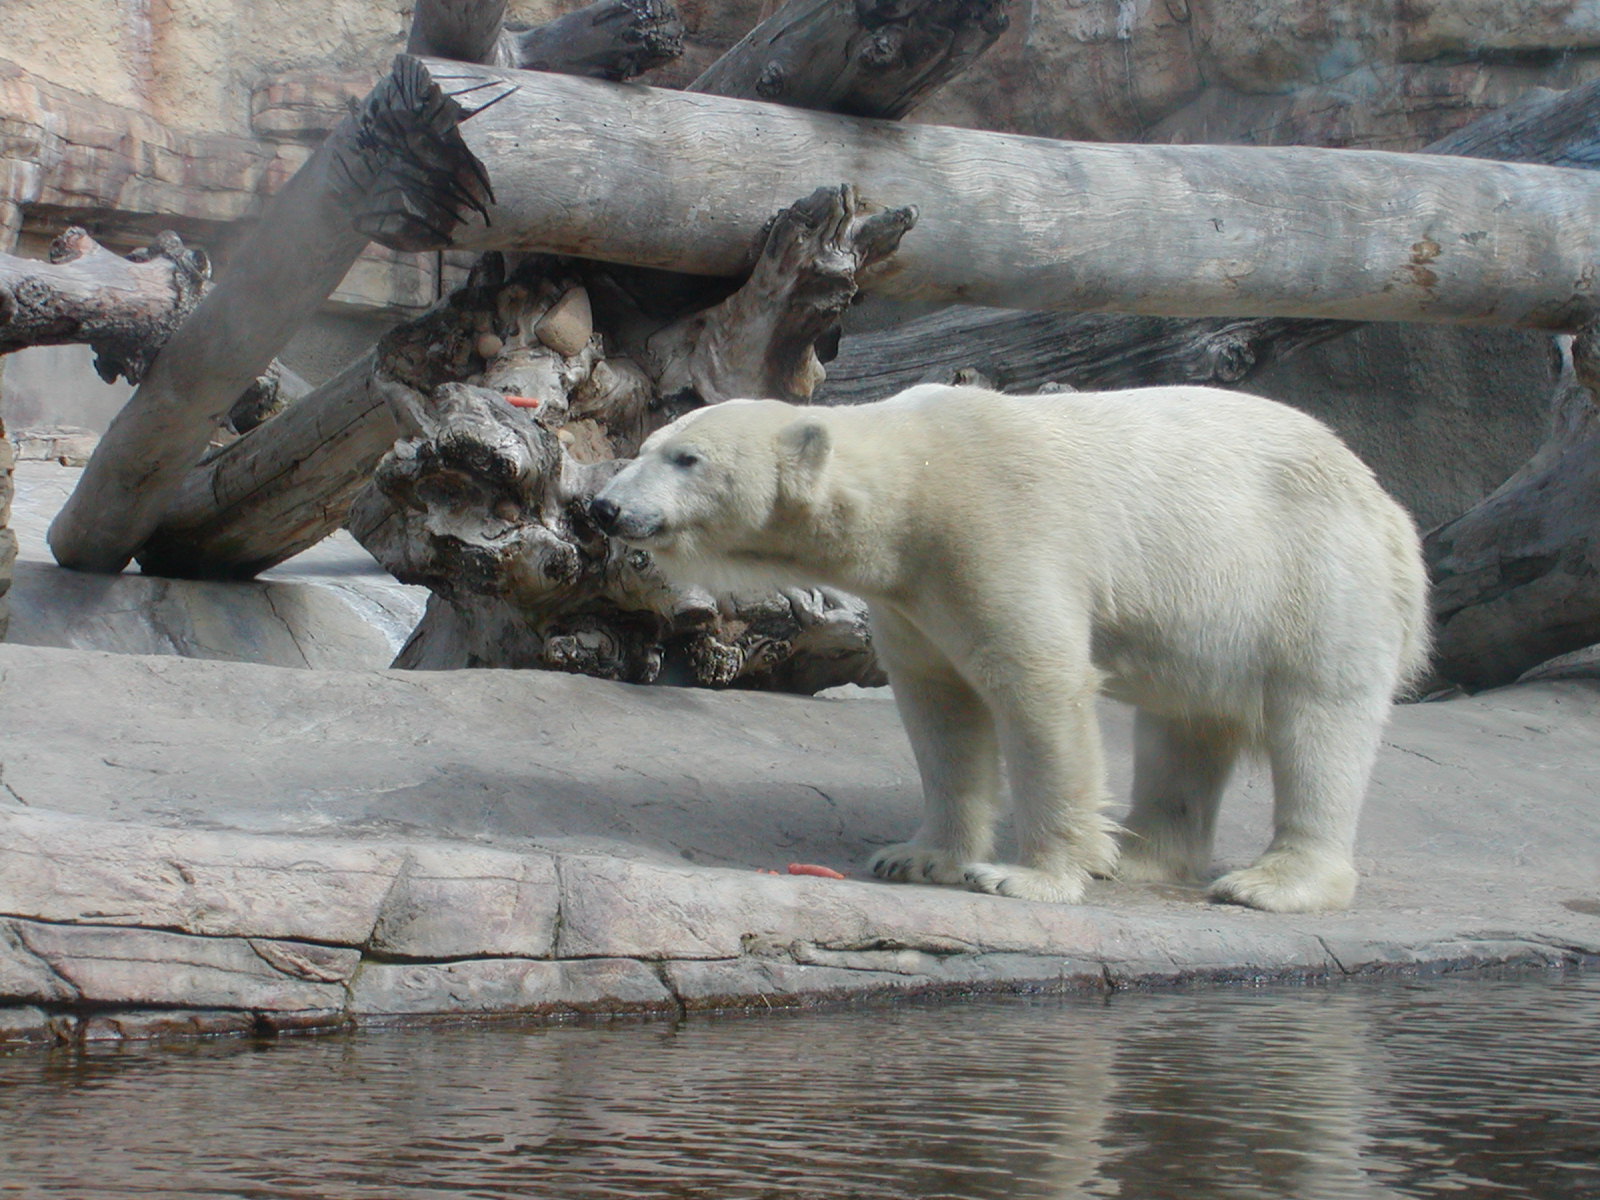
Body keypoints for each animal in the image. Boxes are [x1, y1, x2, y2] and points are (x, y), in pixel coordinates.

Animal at [590, 383, 1430, 913]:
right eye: (647, 445)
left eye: (687, 459)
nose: (603, 507)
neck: (914, 483)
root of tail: (1389, 508)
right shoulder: (913, 593)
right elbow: (941, 711)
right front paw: (917, 857)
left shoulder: (998, 529)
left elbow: (1038, 687)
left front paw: (1027, 878)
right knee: (1180, 733)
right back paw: (1136, 852)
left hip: (1314, 575)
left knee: (1320, 723)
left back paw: (1270, 883)